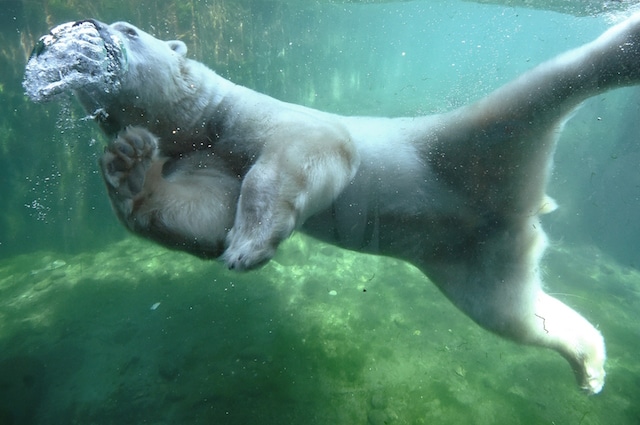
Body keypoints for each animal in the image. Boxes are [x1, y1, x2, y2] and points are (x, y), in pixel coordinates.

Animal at [23, 16, 640, 394]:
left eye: (129, 28)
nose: (83, 34)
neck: (207, 123)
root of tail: (516, 208)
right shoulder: (202, 155)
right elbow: (200, 214)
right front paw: (127, 166)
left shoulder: (260, 118)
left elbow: (303, 151)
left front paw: (248, 246)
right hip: (471, 252)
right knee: (515, 314)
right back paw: (589, 364)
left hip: (457, 138)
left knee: (552, 80)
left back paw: (621, 44)